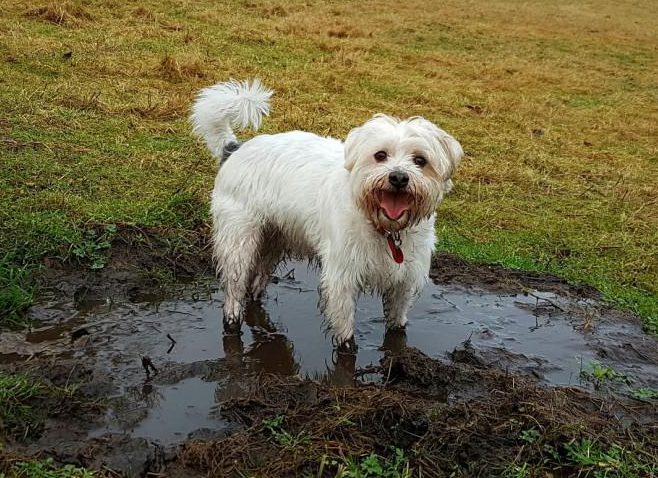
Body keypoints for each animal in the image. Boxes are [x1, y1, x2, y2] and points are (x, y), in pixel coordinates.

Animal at [191, 80, 462, 350]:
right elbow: (345, 334)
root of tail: (234, 149)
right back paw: (232, 320)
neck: (383, 227)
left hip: (274, 237)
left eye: (420, 160)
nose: (398, 177)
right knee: (235, 287)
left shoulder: (404, 282)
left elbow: (397, 326)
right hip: (239, 241)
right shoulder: (342, 277)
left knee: (257, 283)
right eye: (380, 155)